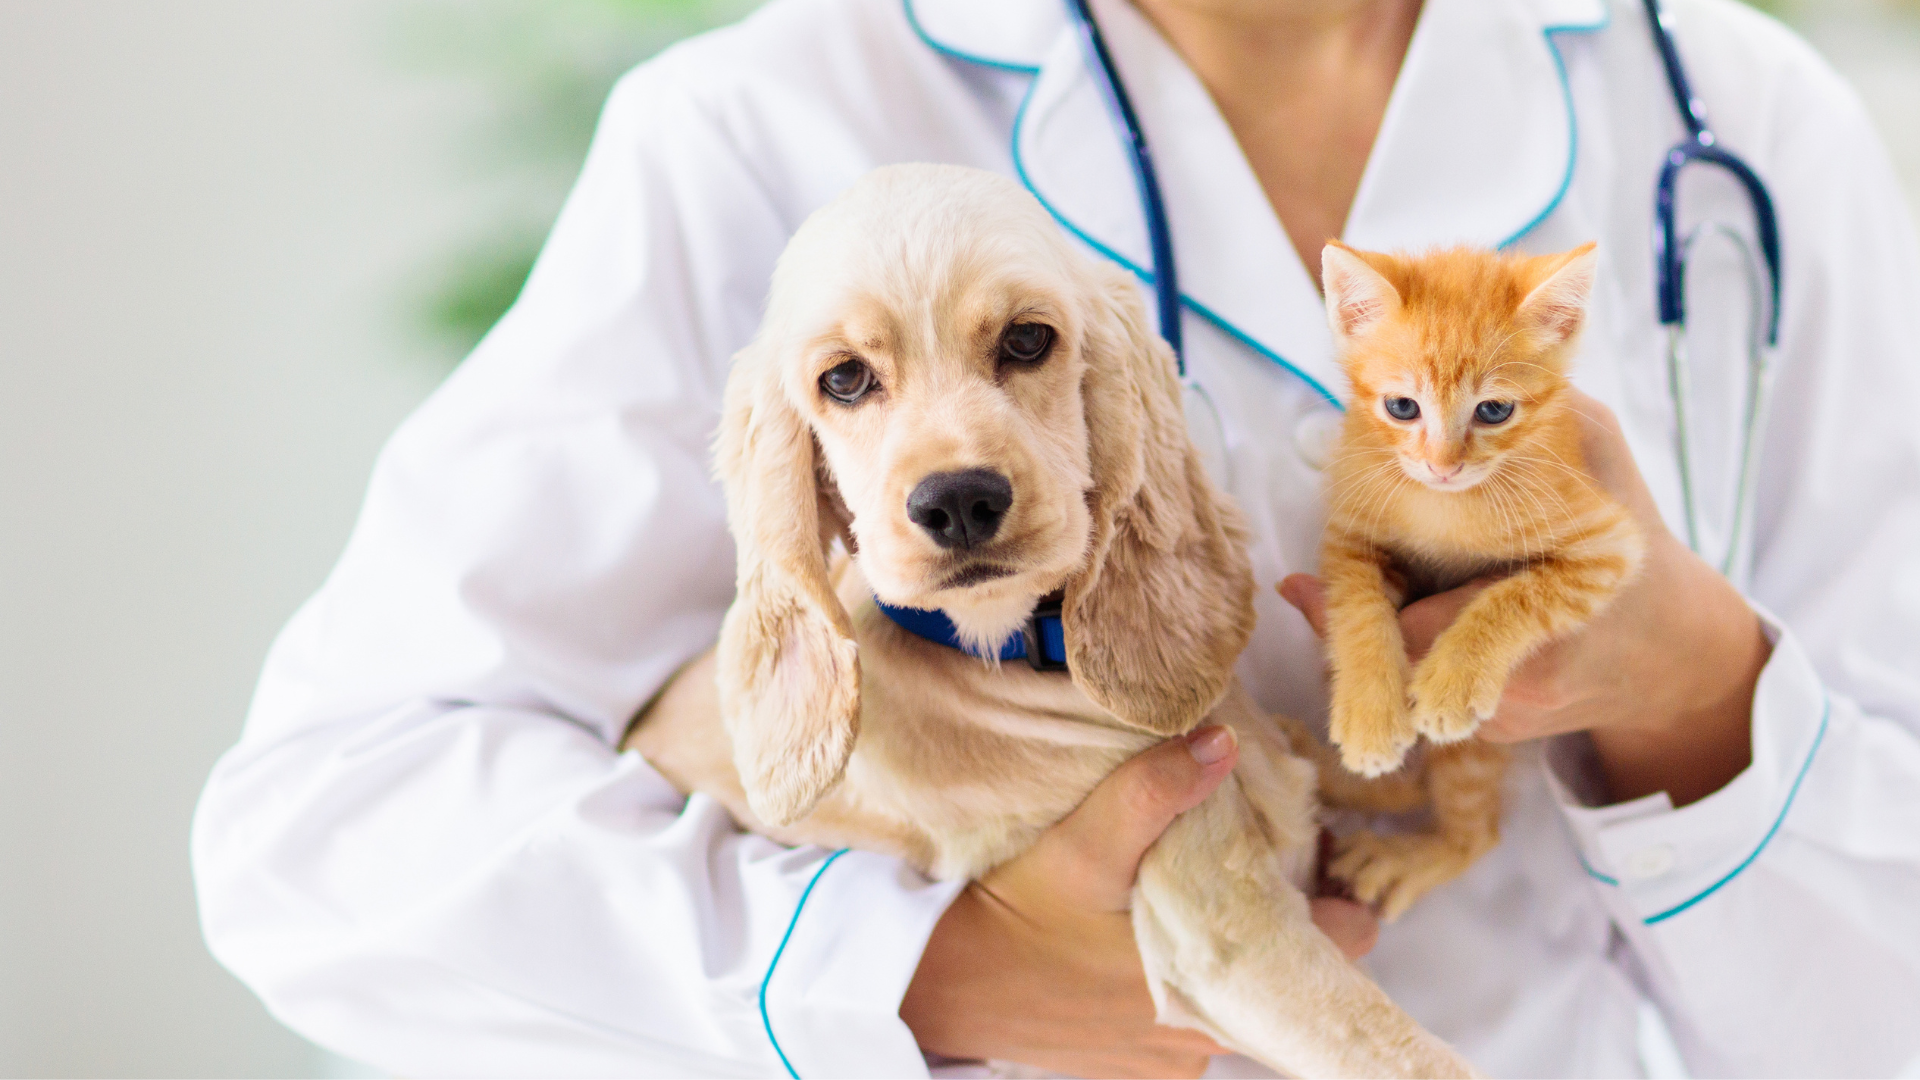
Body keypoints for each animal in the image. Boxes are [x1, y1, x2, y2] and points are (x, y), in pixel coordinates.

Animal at [629, 164, 1466, 1068]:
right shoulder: (1223, 933)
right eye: (844, 379)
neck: (1021, 653)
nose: (958, 501)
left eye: (1027, 340)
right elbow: (1417, 1058)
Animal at [1313, 239, 1643, 910]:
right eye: (1402, 406)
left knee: (1476, 832)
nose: (1443, 466)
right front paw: (1369, 714)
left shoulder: (1607, 545)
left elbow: (1516, 596)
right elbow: (1356, 608)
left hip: (1477, 753)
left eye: (1493, 410)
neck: (1445, 507)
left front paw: (1453, 680)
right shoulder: (1350, 533)